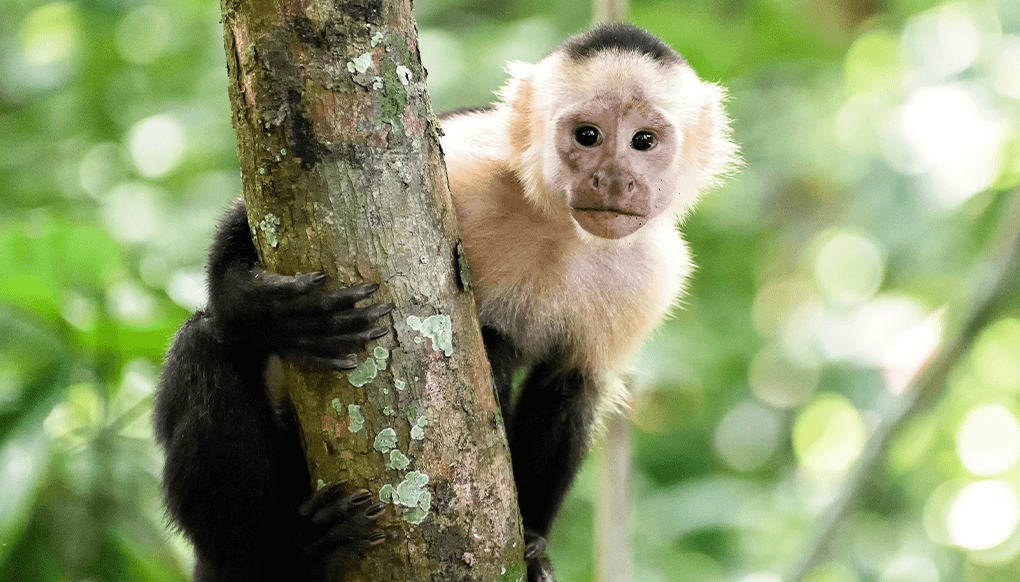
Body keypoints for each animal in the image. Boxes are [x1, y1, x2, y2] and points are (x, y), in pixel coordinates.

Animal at [153, 21, 734, 582]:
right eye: (587, 135)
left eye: (643, 141)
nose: (612, 179)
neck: (560, 229)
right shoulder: (471, 158)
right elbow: (251, 218)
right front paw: (265, 308)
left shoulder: (654, 274)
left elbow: (570, 387)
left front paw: (532, 547)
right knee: (204, 346)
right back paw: (285, 557)